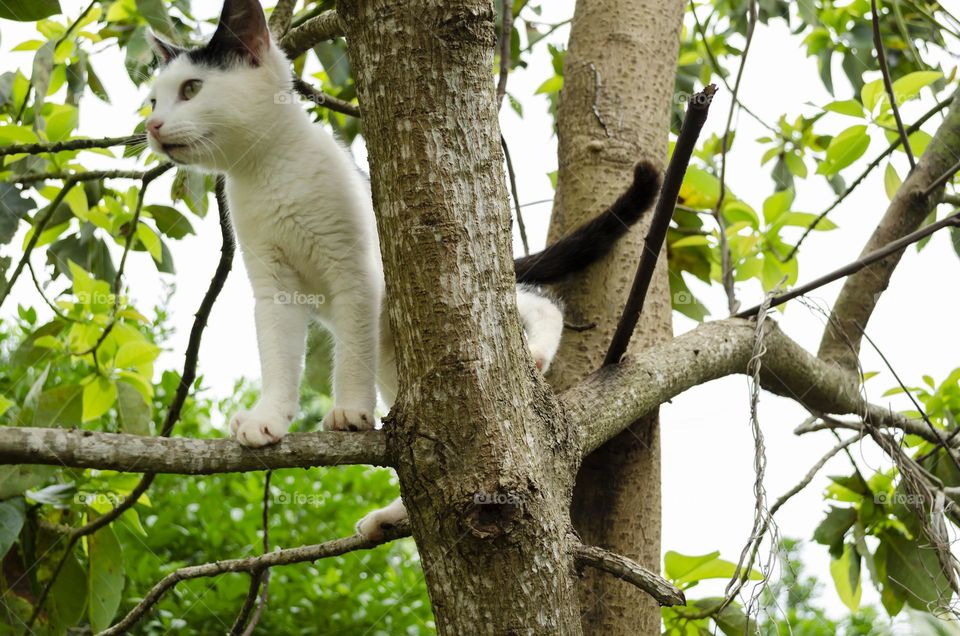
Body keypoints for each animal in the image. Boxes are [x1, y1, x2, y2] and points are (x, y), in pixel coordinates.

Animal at [144, 0, 660, 536]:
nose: (153, 128)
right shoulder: (273, 285)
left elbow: (351, 351)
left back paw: (536, 348)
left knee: (538, 301)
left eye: (191, 89)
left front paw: (349, 412)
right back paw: (395, 515)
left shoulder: (355, 271)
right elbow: (279, 354)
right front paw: (270, 418)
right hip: (395, 357)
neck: (268, 172)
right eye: (154, 100)